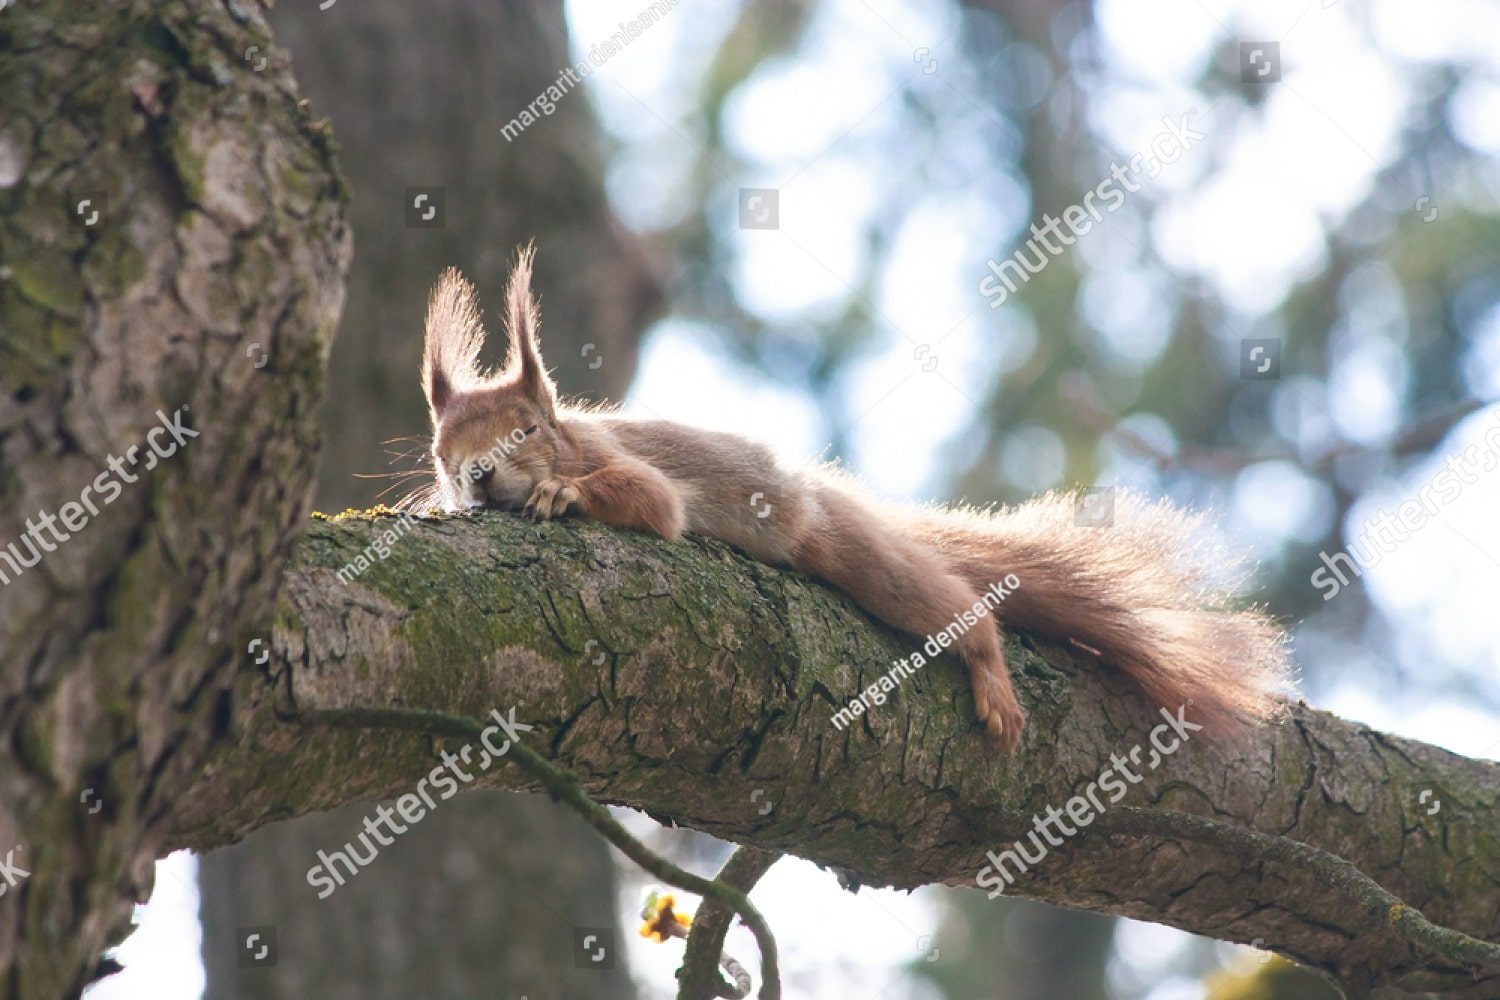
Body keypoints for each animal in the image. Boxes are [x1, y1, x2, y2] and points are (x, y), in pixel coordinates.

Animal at [416, 245, 1290, 752]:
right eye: (442, 456)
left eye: (527, 430)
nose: (475, 479)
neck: (570, 436)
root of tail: (824, 492)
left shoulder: (622, 463)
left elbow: (651, 500)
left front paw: (561, 492)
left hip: (844, 549)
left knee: (952, 603)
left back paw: (989, 671)